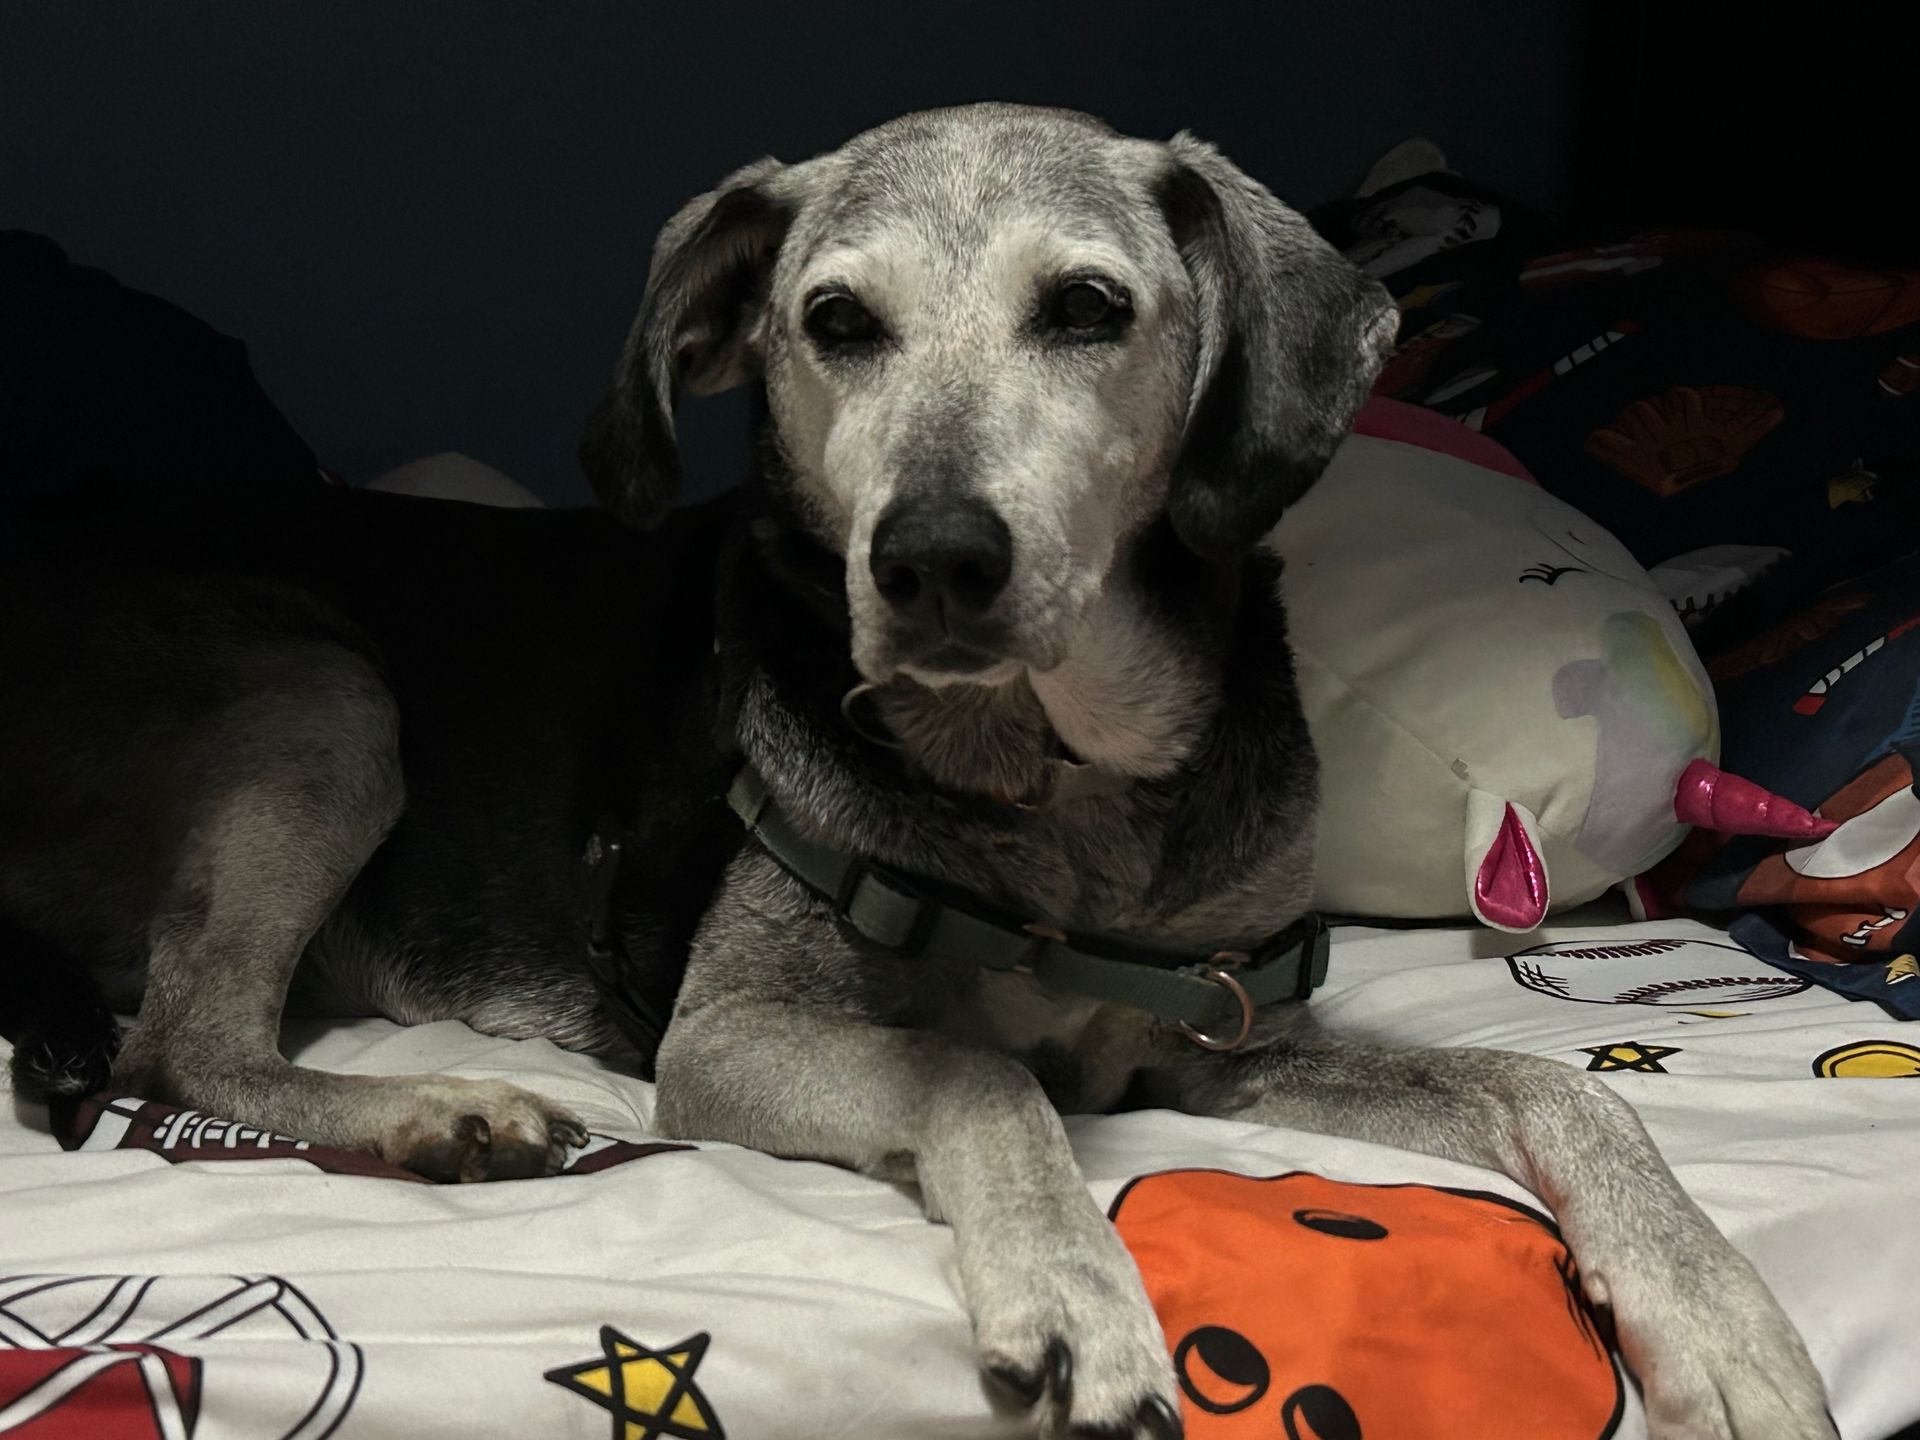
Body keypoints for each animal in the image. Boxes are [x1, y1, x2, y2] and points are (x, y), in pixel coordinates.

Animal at [0, 107, 1827, 1436]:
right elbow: (977, 1073)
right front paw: (1076, 1290)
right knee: (188, 1036)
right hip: (324, 693)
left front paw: (1723, 1312)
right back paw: (441, 1108)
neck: (1055, 791)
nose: (935, 560)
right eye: (833, 323)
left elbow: (1560, 1087)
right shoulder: (728, 1037)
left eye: (1088, 309)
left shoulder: (1221, 1039)